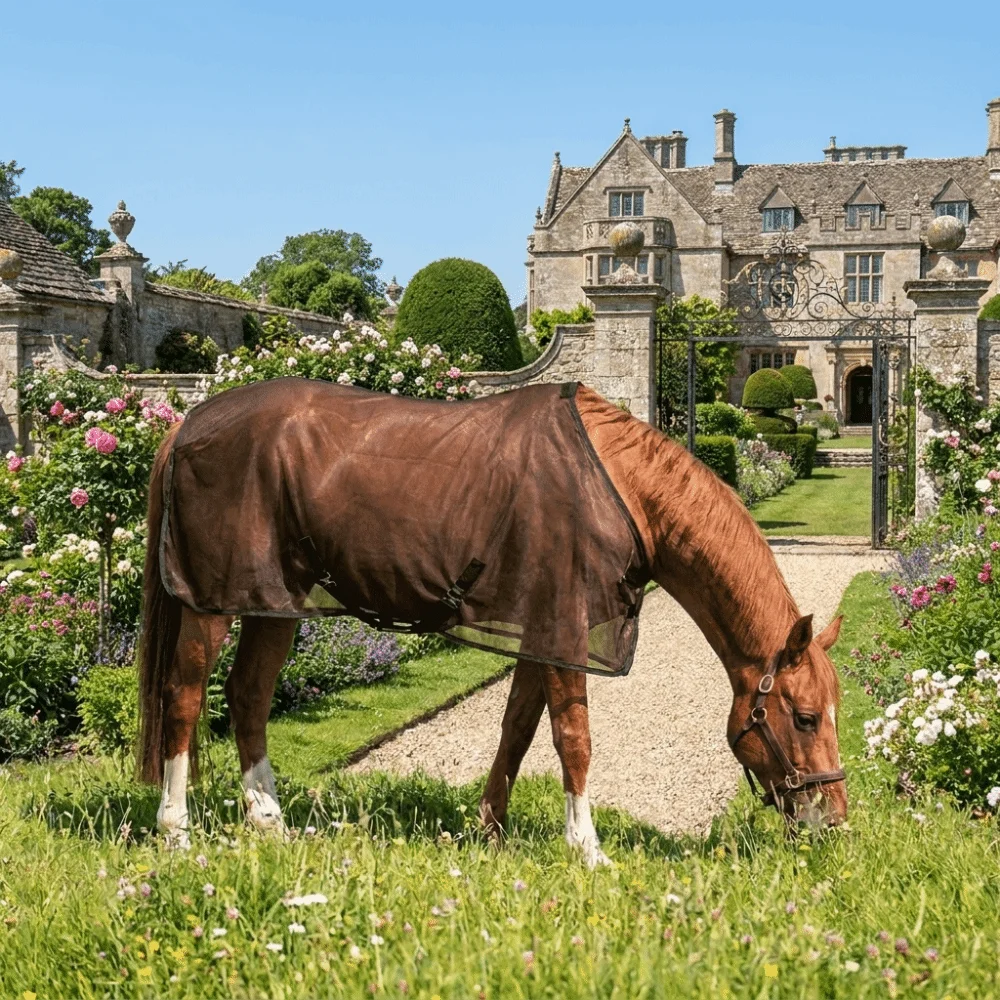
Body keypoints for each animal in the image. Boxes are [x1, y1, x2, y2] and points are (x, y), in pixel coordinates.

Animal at [138, 378, 846, 860]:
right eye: (806, 717)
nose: (834, 817)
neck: (619, 487)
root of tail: (188, 421)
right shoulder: (565, 628)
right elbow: (573, 738)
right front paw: (587, 849)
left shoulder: (544, 631)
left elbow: (519, 728)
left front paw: (492, 829)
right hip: (209, 605)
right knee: (186, 696)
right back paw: (175, 831)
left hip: (274, 603)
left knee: (248, 695)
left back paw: (270, 820)